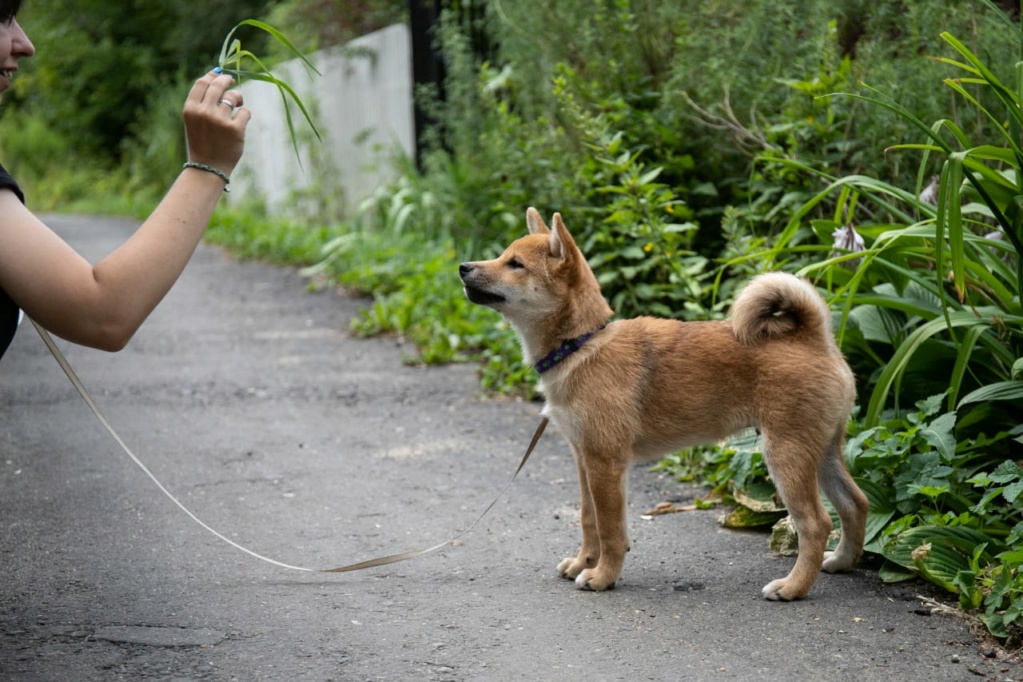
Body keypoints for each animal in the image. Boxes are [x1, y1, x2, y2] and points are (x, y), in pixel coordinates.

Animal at [460, 208, 867, 601]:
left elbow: (609, 530)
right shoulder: (584, 459)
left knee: (816, 523)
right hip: (821, 452)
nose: (464, 267)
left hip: (786, 456)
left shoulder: (605, 463)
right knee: (855, 503)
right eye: (503, 256)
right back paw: (842, 561)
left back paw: (793, 587)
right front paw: (583, 563)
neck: (582, 344)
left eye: (515, 264)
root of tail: (814, 337)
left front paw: (603, 576)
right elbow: (589, 520)